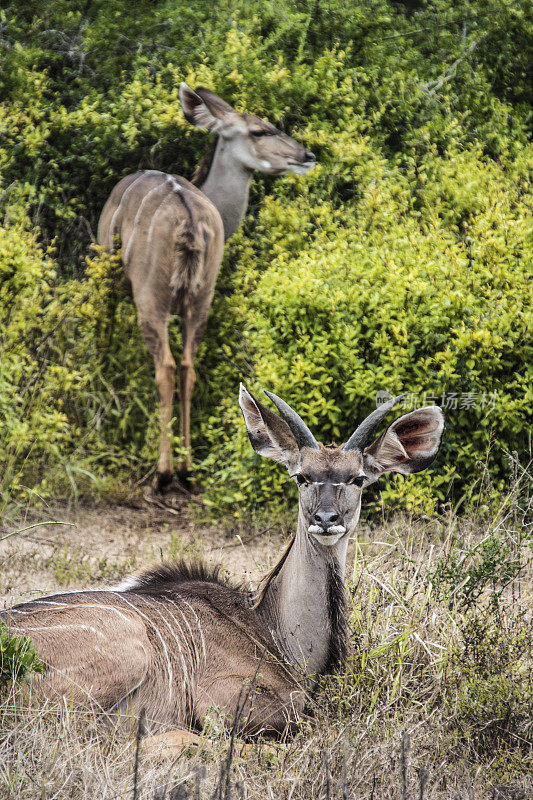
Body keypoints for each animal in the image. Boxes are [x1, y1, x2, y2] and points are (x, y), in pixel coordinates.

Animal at [0, 388, 442, 736]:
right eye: (301, 477)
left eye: (357, 479)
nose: (326, 519)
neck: (273, 630)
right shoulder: (221, 699)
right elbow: (292, 712)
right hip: (127, 654)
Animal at [97, 86, 314, 488]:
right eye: (260, 130)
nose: (307, 156)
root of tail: (189, 219)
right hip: (198, 300)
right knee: (186, 367)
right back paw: (184, 470)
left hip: (152, 298)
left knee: (167, 367)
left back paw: (166, 473)